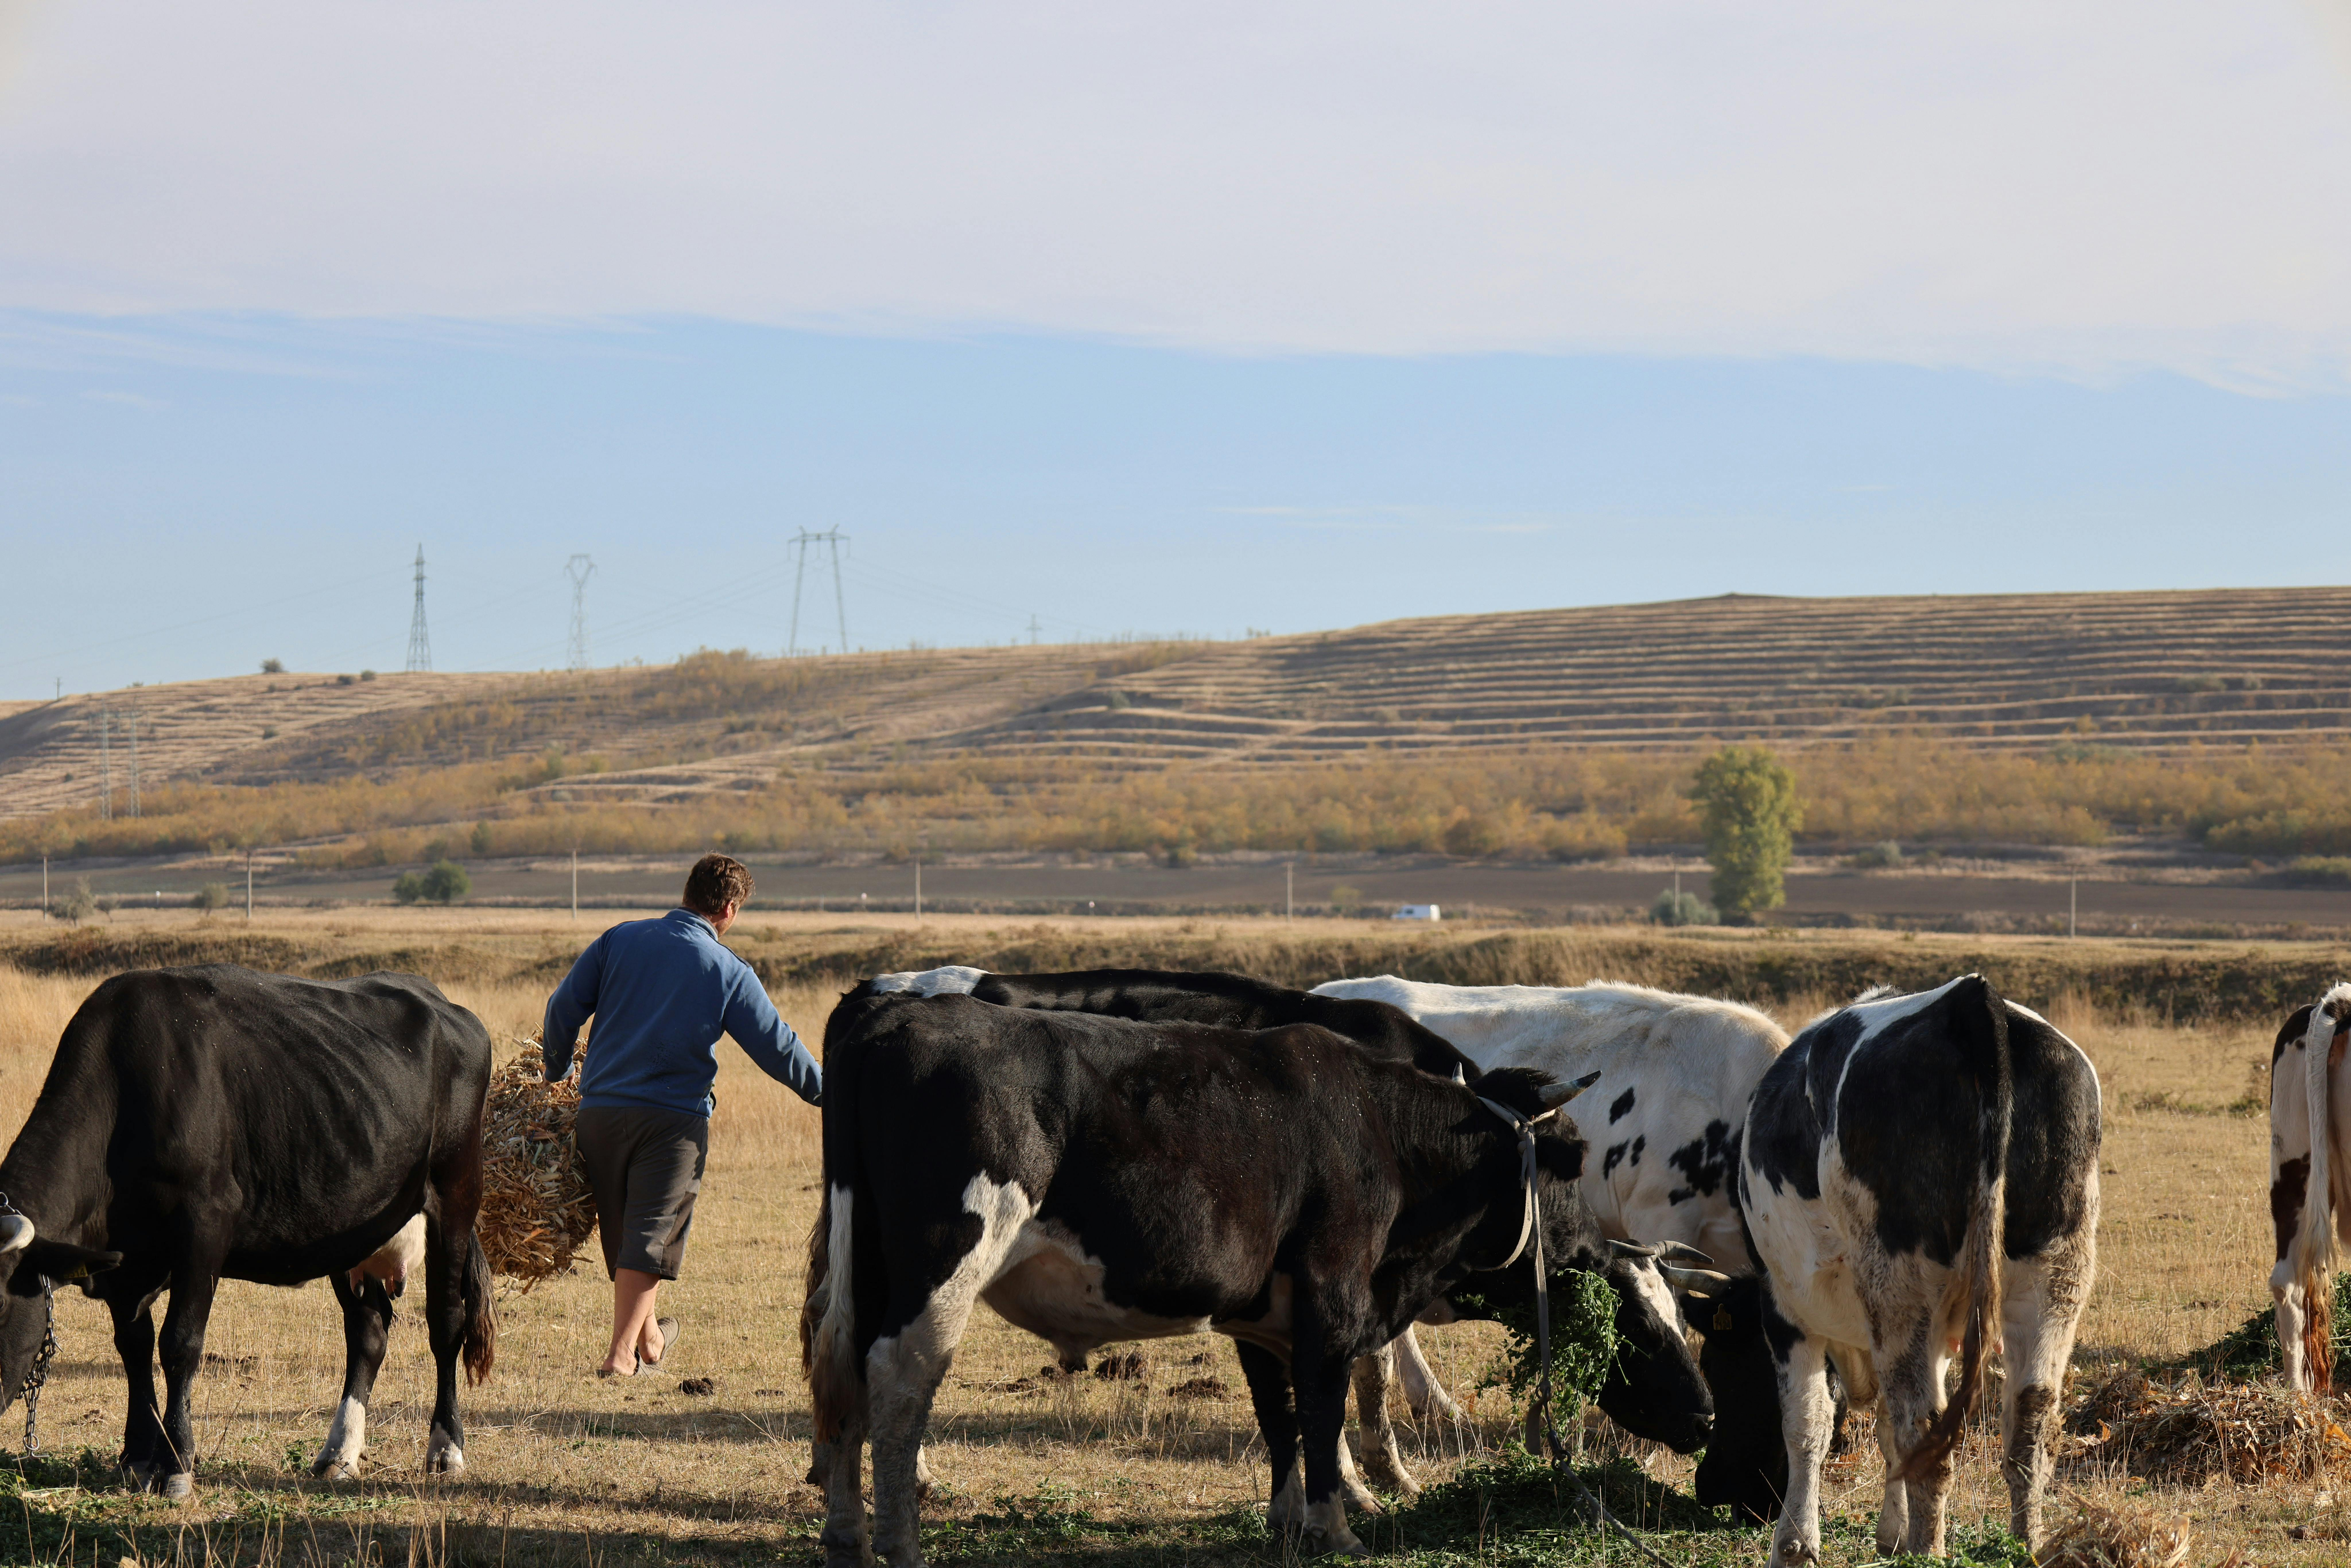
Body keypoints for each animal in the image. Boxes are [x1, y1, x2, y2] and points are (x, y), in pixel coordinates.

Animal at [0, 966, 497, 1495]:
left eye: (1, 1305)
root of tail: (440, 1000)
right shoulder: (125, 1264)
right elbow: (134, 1348)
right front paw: (137, 1456)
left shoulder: (205, 1225)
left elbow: (180, 1343)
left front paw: (177, 1463)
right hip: (350, 1225)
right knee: (369, 1330)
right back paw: (339, 1452)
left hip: (456, 1193)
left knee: (447, 1321)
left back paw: (445, 1448)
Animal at [804, 989, 1711, 1565]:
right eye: (1639, 1322)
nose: (1706, 1416)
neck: (1386, 1135)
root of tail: (896, 1012)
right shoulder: (1332, 1299)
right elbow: (1321, 1410)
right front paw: (1336, 1525)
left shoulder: (1261, 1315)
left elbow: (1281, 1418)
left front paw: (1288, 1522)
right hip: (942, 1263)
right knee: (899, 1378)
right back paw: (899, 1539)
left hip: (868, 1265)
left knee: (843, 1373)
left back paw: (847, 1533)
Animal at [1710, 975, 2100, 1563]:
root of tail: (1969, 1000)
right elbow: (1884, 1428)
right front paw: (1889, 1532)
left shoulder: (1783, 1306)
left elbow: (1807, 1425)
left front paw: (1796, 1544)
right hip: (2054, 1274)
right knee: (2029, 1423)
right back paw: (2022, 1543)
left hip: (1896, 1284)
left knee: (1925, 1431)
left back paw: (1926, 1550)